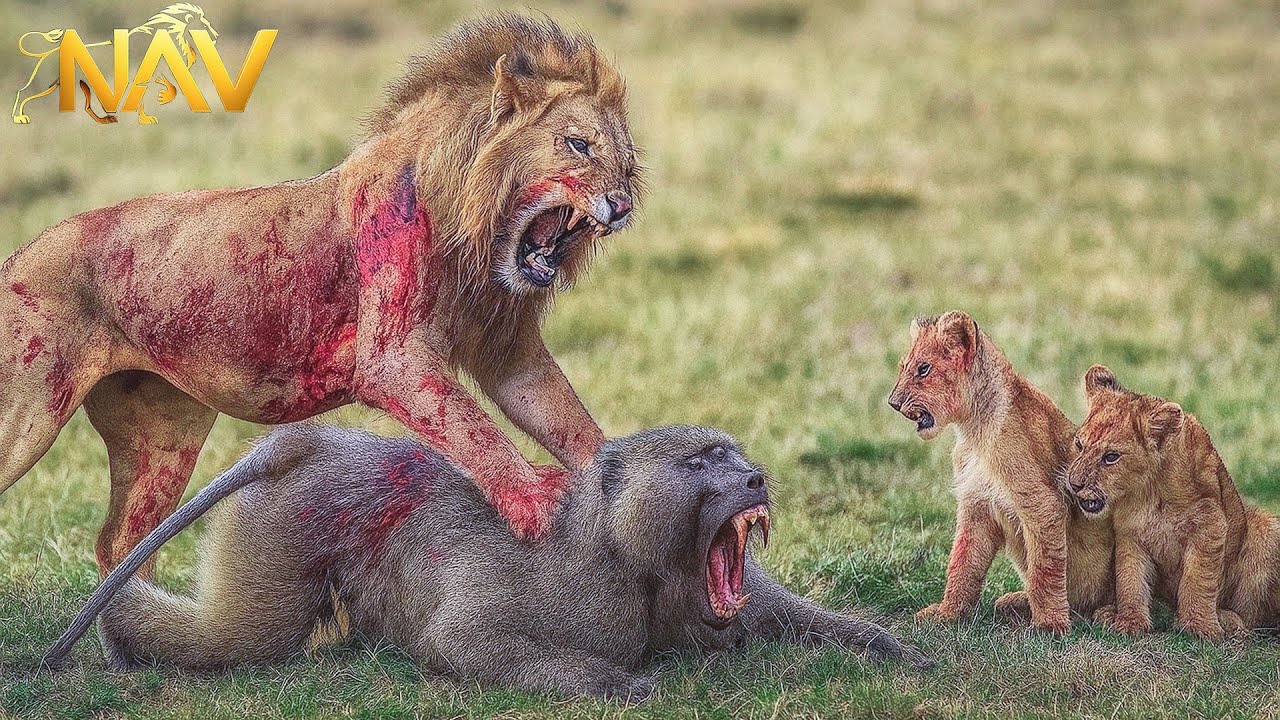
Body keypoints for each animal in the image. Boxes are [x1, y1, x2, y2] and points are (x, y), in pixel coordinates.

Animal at [12, 3, 217, 125]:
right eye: (204, 26)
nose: (215, 36)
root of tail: (47, 53)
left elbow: (170, 89)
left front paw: (162, 98)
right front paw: (148, 117)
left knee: (87, 107)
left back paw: (107, 119)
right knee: (22, 93)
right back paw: (20, 118)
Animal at [888, 311, 1113, 633]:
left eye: (923, 369)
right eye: (903, 367)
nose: (892, 402)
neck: (973, 430)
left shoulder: (1043, 504)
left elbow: (1045, 569)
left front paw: (1049, 625)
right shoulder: (976, 503)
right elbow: (963, 562)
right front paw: (946, 613)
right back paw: (1013, 602)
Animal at [1066, 365, 1280, 640]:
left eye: (1111, 457)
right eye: (1079, 444)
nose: (1074, 484)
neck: (1149, 490)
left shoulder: (1209, 525)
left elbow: (1197, 580)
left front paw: (1199, 628)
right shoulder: (1130, 534)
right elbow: (1130, 579)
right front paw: (1129, 622)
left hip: (1266, 529)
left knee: (1252, 618)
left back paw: (1228, 620)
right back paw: (1107, 613)